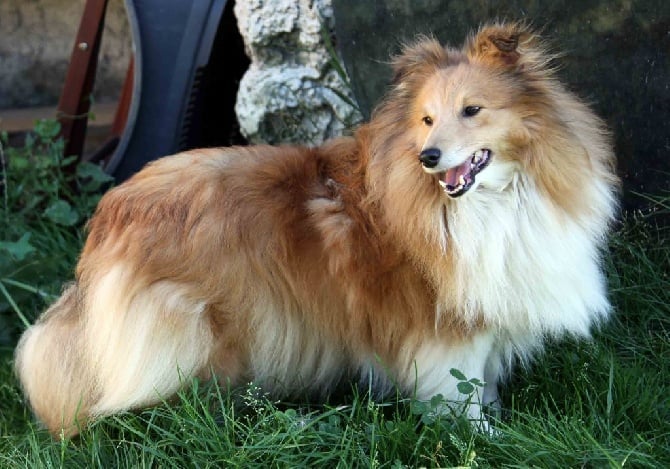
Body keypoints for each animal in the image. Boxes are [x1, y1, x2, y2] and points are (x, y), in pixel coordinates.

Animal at [13, 23, 620, 436]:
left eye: (472, 110)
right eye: (427, 119)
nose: (428, 157)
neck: (496, 199)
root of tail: (111, 212)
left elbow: (484, 382)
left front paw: (496, 424)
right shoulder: (445, 325)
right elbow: (460, 389)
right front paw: (484, 438)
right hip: (194, 326)